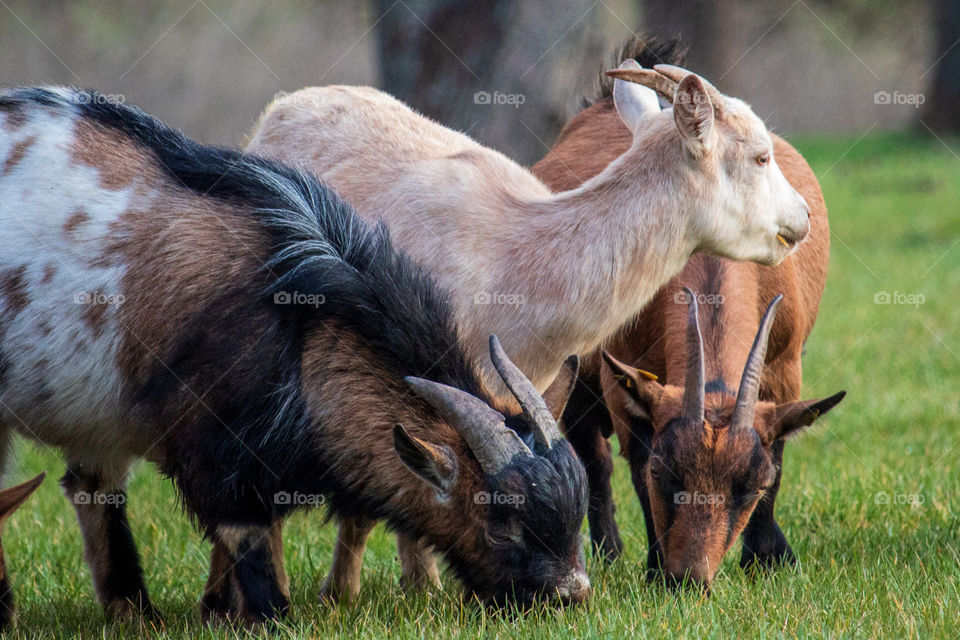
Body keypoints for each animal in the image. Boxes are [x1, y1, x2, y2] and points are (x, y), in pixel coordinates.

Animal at [536, 41, 844, 592]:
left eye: (751, 485)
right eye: (666, 474)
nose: (690, 579)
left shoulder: (784, 367)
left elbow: (779, 449)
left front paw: (767, 558)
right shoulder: (624, 379)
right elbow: (630, 462)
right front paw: (654, 566)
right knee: (593, 457)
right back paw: (608, 551)